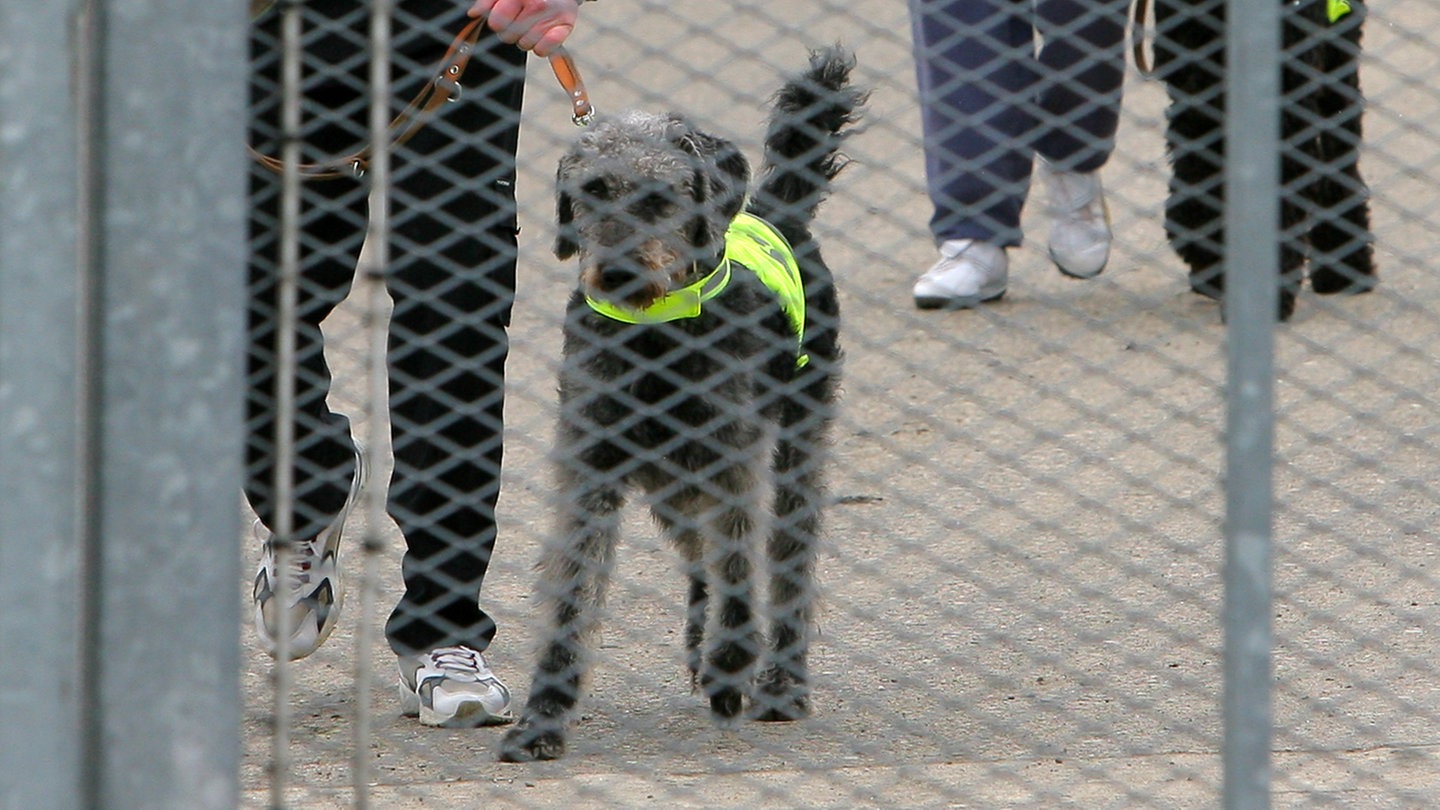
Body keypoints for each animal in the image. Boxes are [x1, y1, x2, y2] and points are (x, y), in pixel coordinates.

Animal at [504, 47, 864, 760]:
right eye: (594, 191)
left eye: (659, 194)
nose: (617, 273)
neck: (657, 334)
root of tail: (775, 210)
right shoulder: (589, 473)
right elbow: (571, 594)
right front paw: (543, 716)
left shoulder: (732, 465)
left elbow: (740, 568)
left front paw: (734, 660)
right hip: (672, 485)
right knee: (701, 558)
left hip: (795, 453)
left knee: (785, 564)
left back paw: (777, 678)